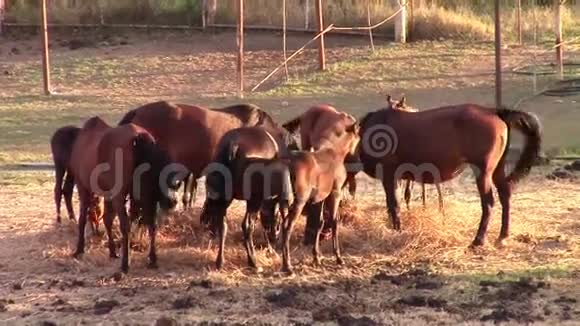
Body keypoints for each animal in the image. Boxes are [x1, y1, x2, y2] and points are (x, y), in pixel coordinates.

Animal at [69, 117, 180, 272]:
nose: (172, 201)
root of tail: (138, 136)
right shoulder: (109, 194)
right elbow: (107, 220)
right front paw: (112, 251)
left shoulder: (83, 187)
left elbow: (83, 219)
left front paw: (79, 250)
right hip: (146, 197)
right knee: (151, 224)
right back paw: (152, 259)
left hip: (120, 196)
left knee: (125, 225)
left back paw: (125, 264)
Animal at [201, 126, 292, 270]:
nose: (275, 237)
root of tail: (233, 145)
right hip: (253, 200)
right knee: (247, 225)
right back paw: (253, 262)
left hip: (224, 198)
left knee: (223, 225)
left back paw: (220, 261)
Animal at [358, 103, 544, 246]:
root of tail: (493, 111)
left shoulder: (390, 176)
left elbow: (394, 205)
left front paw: (397, 231)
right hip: (497, 169)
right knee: (505, 195)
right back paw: (502, 237)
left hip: (483, 171)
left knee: (488, 203)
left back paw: (478, 240)